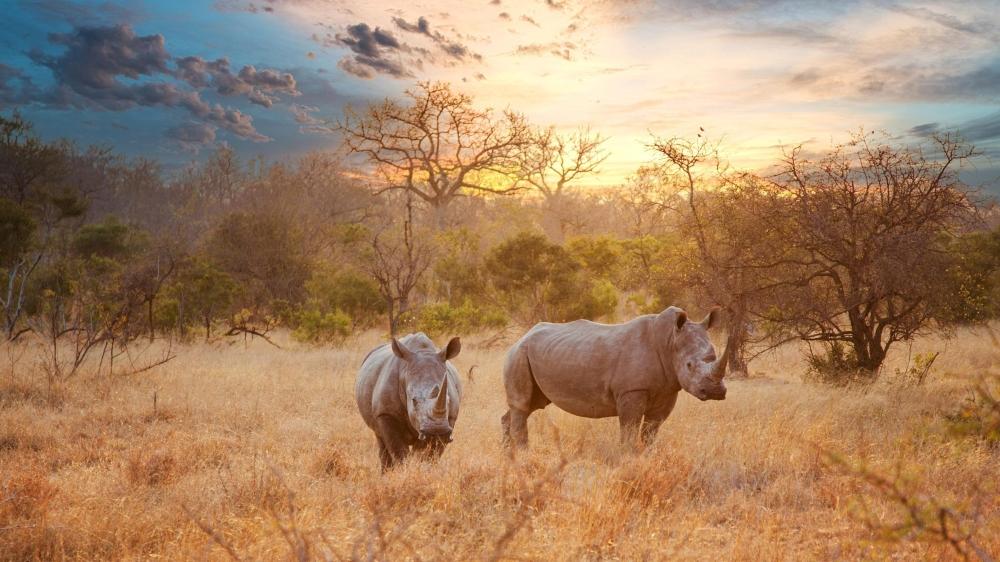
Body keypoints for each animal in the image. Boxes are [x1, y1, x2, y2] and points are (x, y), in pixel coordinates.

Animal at [356, 333, 462, 470]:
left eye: (448, 400)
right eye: (413, 400)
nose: (436, 430)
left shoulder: (450, 420)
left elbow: (431, 456)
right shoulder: (385, 413)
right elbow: (399, 452)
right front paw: (403, 471)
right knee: (381, 439)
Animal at [501, 306, 732, 448]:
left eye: (713, 357)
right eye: (689, 365)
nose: (716, 391)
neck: (670, 342)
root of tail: (521, 337)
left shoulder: (667, 389)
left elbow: (650, 433)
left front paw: (646, 457)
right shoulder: (631, 390)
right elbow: (629, 432)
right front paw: (628, 460)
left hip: (537, 354)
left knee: (531, 404)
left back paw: (509, 455)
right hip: (520, 353)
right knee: (522, 405)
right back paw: (523, 455)